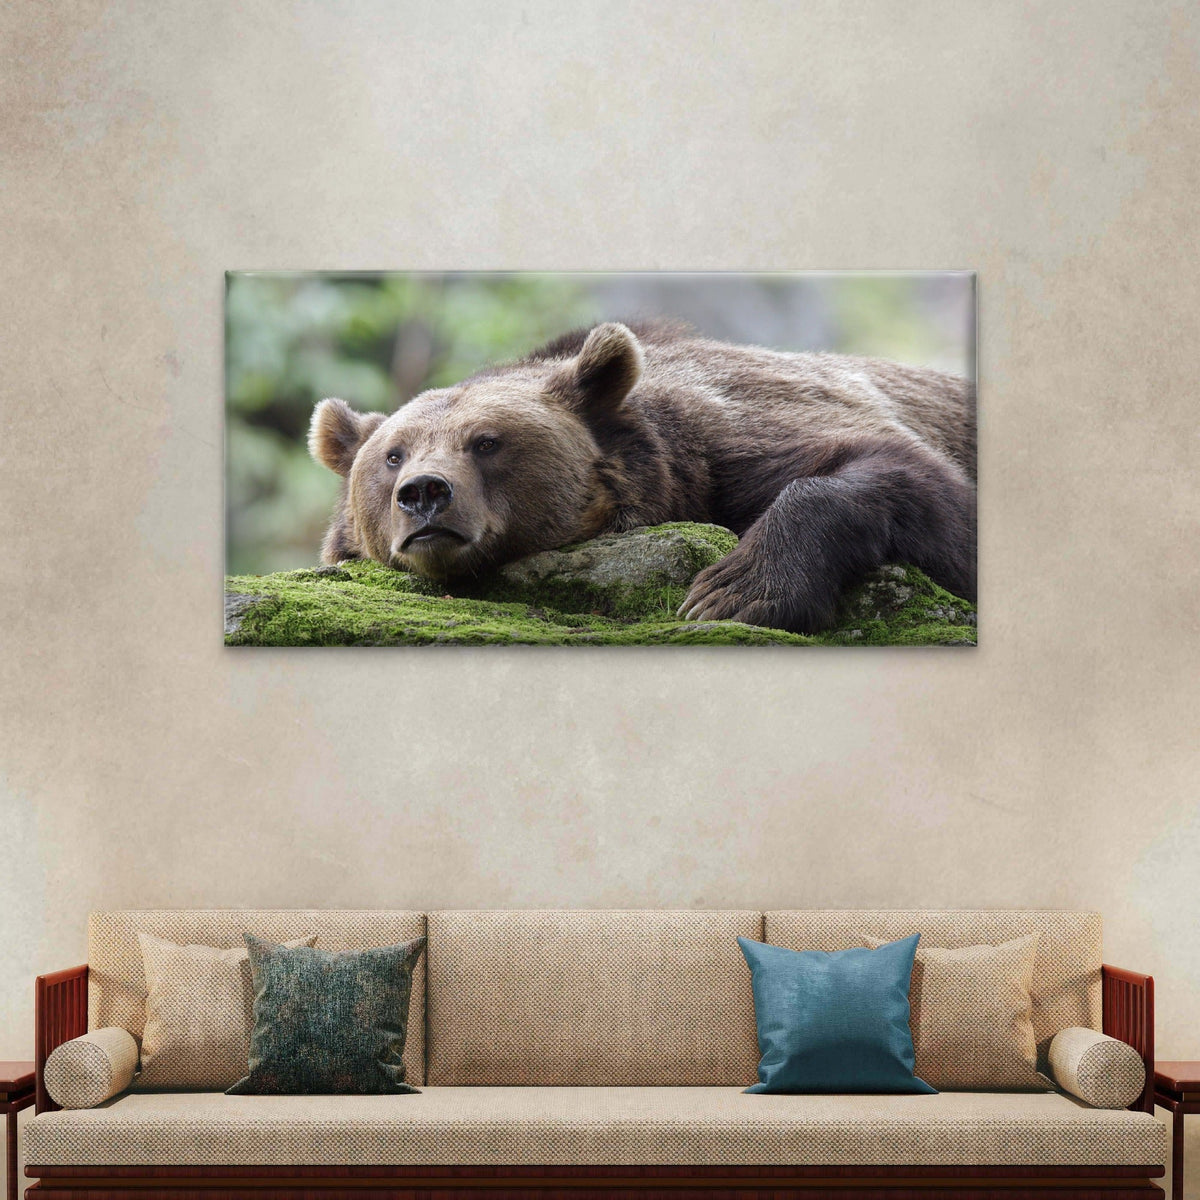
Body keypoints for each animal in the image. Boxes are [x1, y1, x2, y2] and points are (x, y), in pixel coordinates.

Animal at [308, 321, 976, 634]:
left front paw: (733, 591)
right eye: (394, 455)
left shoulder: (733, 436)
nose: (425, 493)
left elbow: (911, 478)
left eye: (487, 442)